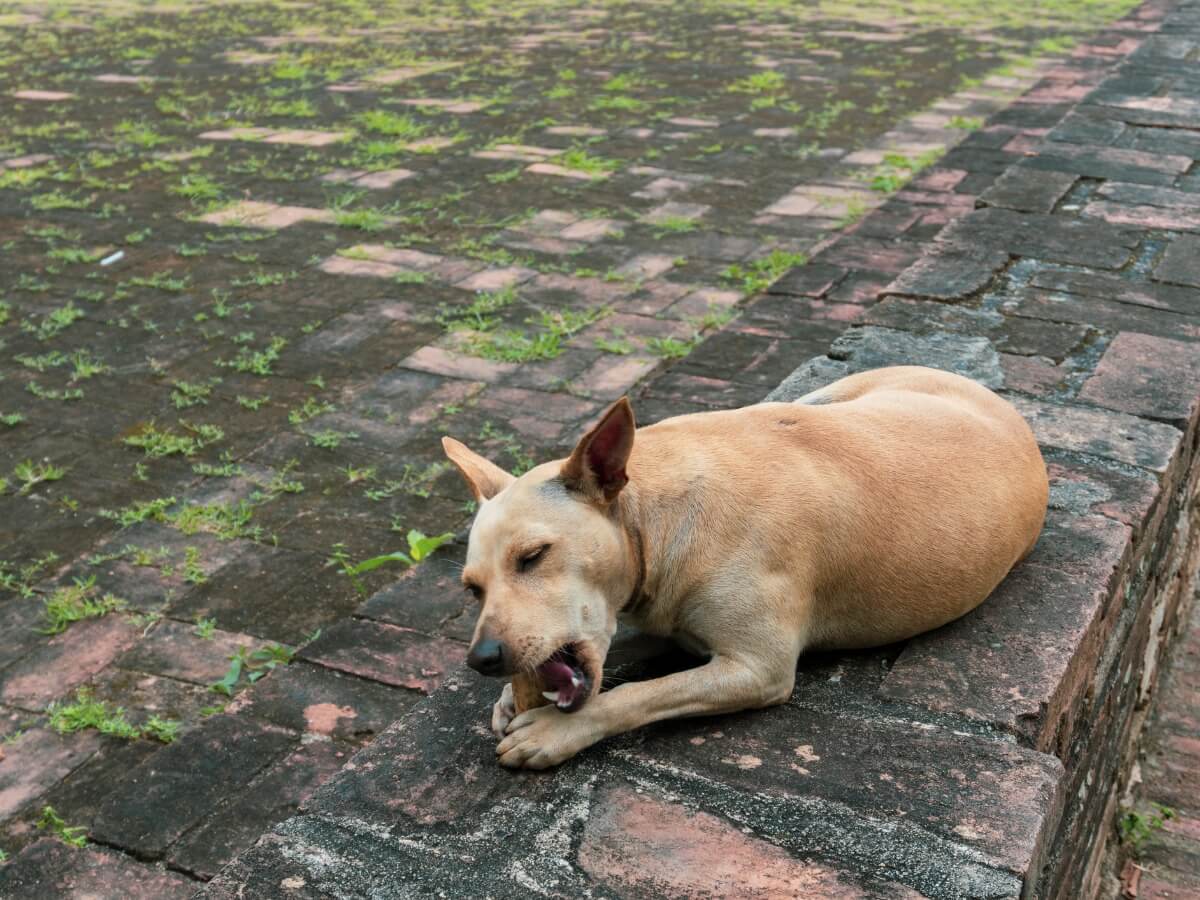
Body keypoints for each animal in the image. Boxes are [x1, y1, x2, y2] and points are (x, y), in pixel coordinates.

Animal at [446, 362, 1046, 772]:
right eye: (472, 589)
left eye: (533, 556)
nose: (483, 659)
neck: (652, 520)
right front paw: (510, 697)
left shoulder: (758, 668)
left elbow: (638, 694)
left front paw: (550, 730)